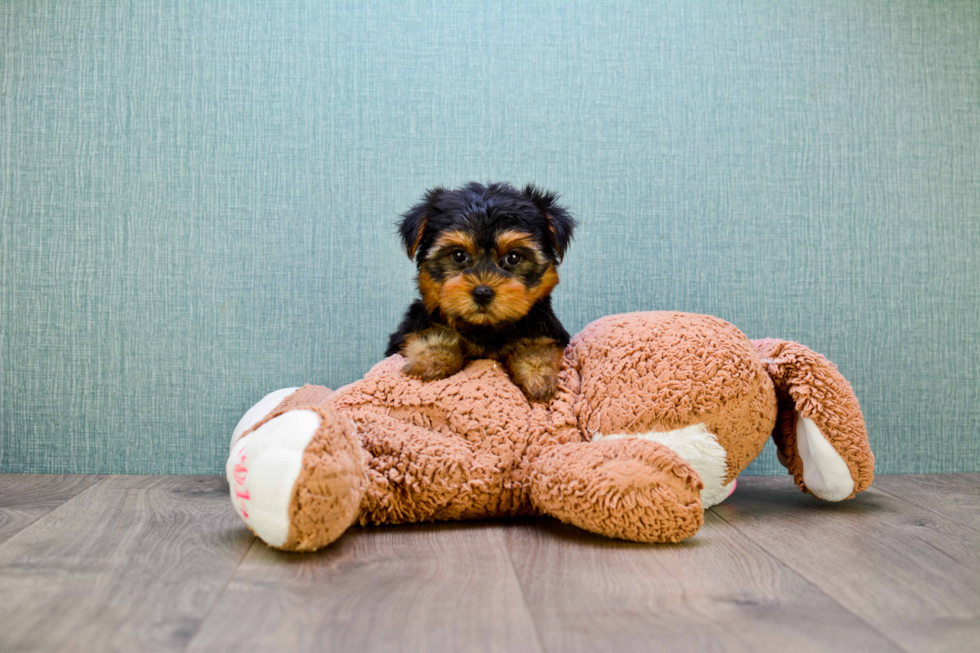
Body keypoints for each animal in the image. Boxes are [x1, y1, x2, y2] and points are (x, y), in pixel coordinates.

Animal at [384, 182, 576, 402]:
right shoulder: (410, 330)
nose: (482, 293)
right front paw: (432, 360)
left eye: (514, 257)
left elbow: (539, 346)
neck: (485, 329)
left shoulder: (546, 329)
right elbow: (431, 334)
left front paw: (537, 375)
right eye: (459, 255)